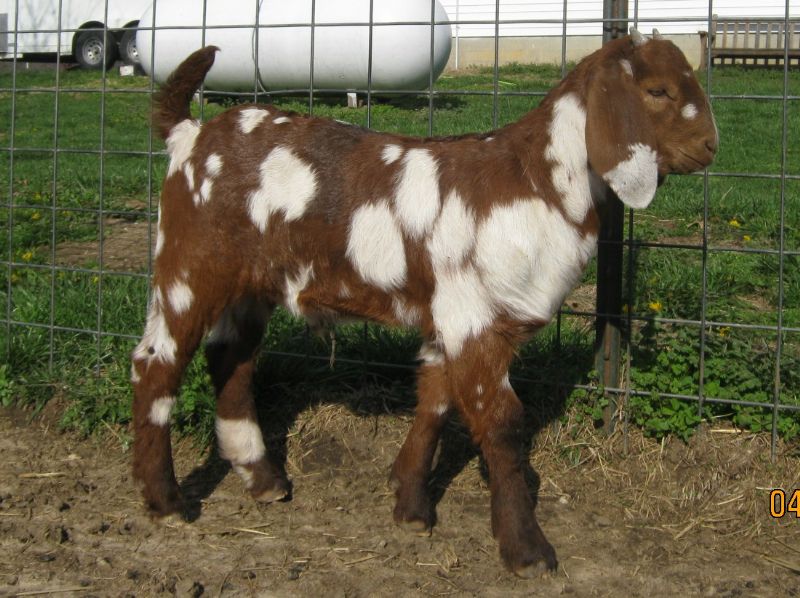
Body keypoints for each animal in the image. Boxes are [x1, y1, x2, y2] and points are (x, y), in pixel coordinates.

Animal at [131, 29, 717, 577]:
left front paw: (411, 506)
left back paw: (262, 477)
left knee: (230, 360)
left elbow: (435, 401)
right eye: (657, 90)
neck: (536, 183)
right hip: (189, 266)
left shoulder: (450, 317)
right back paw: (166, 501)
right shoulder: (474, 318)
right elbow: (502, 426)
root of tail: (190, 136)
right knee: (157, 364)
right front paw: (526, 549)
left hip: (251, 285)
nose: (711, 146)